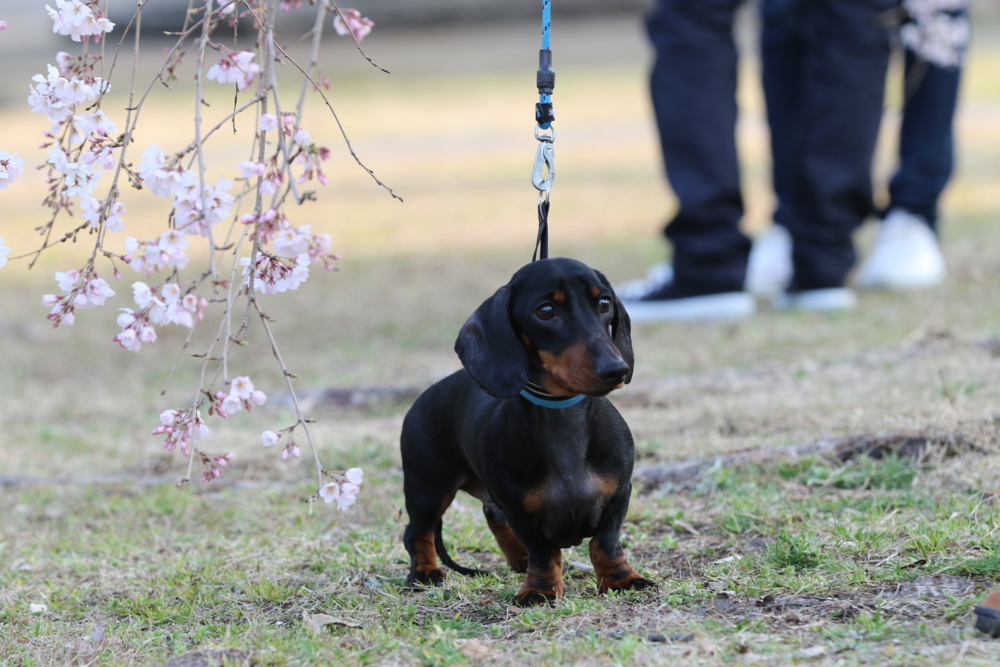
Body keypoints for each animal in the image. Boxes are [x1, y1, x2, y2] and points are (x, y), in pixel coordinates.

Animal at [400, 258, 656, 604]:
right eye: (545, 311)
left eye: (604, 302)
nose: (617, 369)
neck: (562, 415)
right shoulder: (519, 511)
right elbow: (545, 552)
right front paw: (541, 590)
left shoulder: (619, 495)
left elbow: (606, 543)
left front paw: (622, 580)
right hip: (428, 488)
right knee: (418, 532)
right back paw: (425, 572)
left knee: (492, 517)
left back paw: (519, 560)